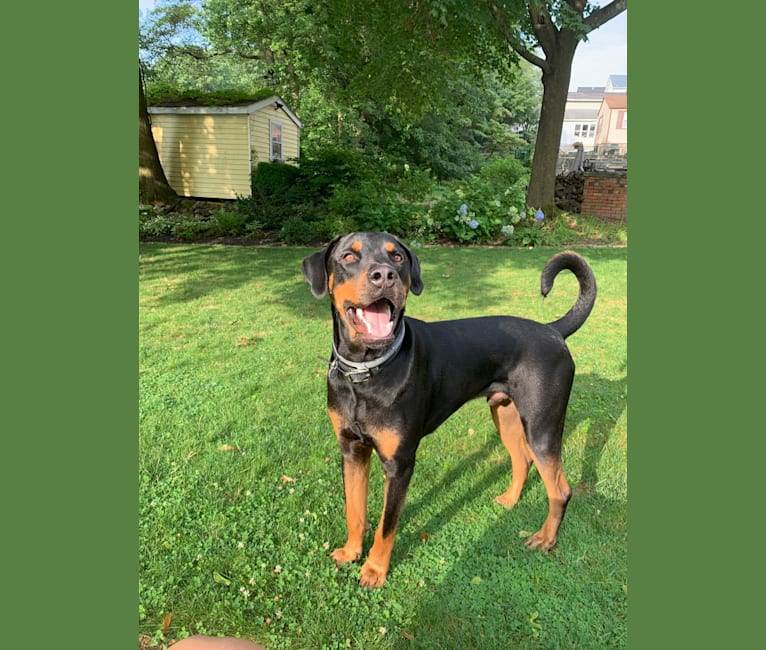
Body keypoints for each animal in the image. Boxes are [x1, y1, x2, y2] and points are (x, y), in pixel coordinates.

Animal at [304, 232, 596, 588]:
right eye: (347, 257)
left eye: (397, 257)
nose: (384, 275)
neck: (366, 371)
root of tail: (553, 330)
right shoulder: (351, 449)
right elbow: (355, 511)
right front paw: (350, 552)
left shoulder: (399, 464)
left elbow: (387, 525)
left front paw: (375, 569)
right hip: (505, 415)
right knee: (522, 460)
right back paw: (510, 500)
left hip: (542, 427)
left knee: (560, 489)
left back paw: (546, 538)